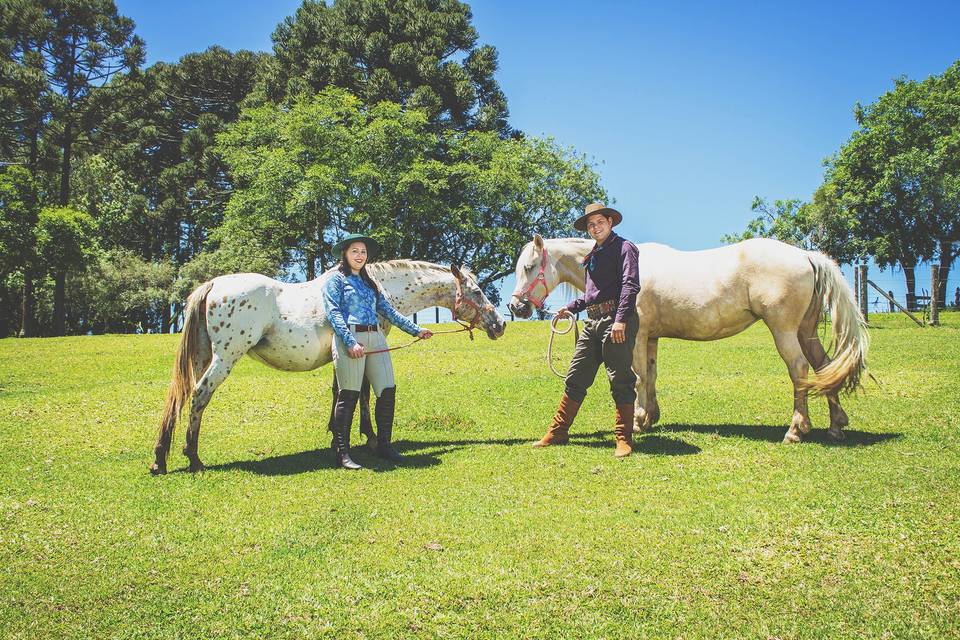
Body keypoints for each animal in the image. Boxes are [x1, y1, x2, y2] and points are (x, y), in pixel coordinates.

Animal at [151, 260, 506, 476]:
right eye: (476, 291)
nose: (500, 324)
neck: (378, 287)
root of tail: (211, 286)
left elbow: (342, 394)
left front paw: (341, 439)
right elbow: (362, 393)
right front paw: (370, 438)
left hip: (202, 358)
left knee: (181, 398)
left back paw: (160, 459)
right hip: (225, 358)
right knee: (199, 396)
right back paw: (193, 458)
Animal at [510, 235, 872, 444]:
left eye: (529, 266)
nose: (517, 307)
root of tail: (806, 256)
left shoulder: (635, 336)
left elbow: (637, 378)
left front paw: (637, 423)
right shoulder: (651, 338)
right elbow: (650, 376)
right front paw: (649, 417)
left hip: (784, 331)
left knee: (800, 371)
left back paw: (796, 430)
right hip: (805, 330)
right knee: (824, 367)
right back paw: (836, 425)